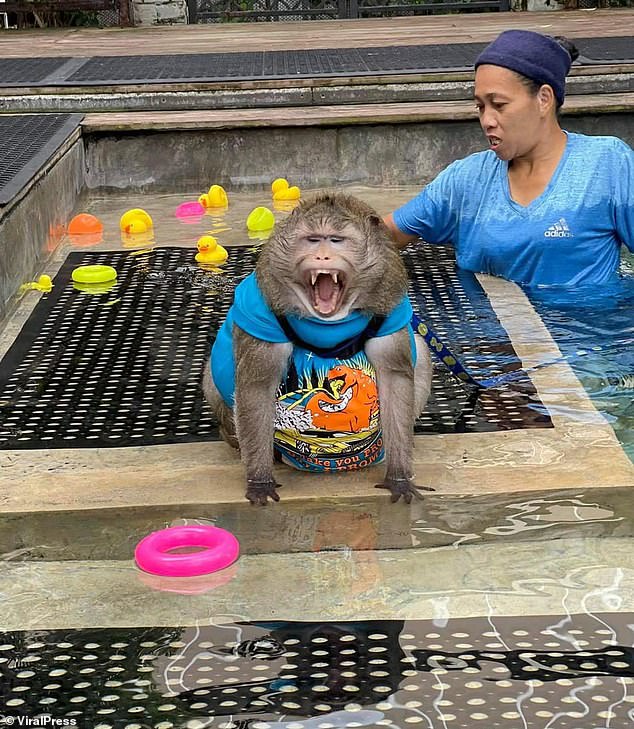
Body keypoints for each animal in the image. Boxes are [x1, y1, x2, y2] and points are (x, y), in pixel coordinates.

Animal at [202, 191, 434, 504]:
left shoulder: (391, 309)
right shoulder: (261, 314)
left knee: (420, 350)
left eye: (336, 240)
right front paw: (259, 480)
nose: (322, 255)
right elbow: (257, 386)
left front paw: (399, 477)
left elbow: (395, 378)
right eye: (312, 240)